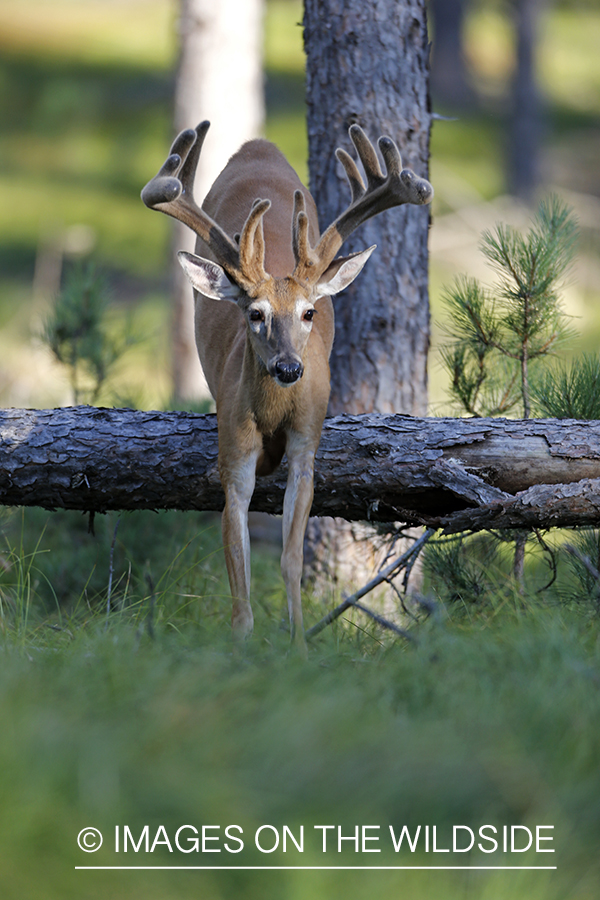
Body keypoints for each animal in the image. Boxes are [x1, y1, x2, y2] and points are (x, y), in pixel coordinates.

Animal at [141, 121, 432, 652]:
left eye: (309, 313)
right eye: (255, 314)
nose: (290, 368)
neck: (274, 414)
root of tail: (260, 145)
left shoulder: (306, 444)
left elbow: (291, 556)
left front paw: (298, 642)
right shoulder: (233, 450)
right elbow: (237, 558)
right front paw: (242, 640)